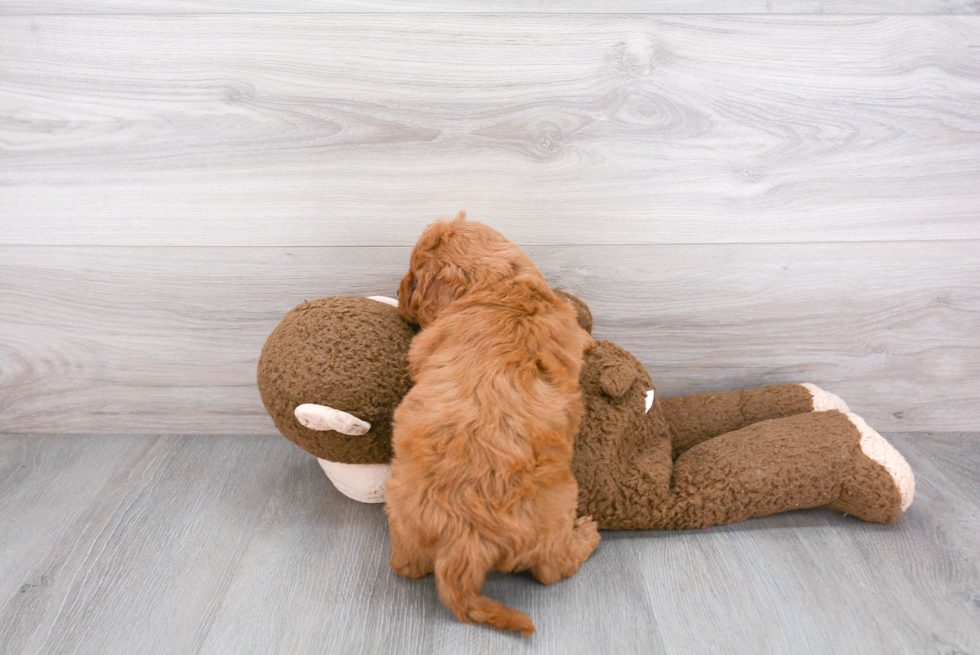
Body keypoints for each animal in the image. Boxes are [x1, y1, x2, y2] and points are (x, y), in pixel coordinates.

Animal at [384, 211, 596, 636]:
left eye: (413, 279)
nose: (397, 289)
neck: (501, 287)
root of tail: (464, 541)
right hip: (562, 503)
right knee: (552, 569)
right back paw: (588, 534)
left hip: (399, 506)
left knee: (407, 566)